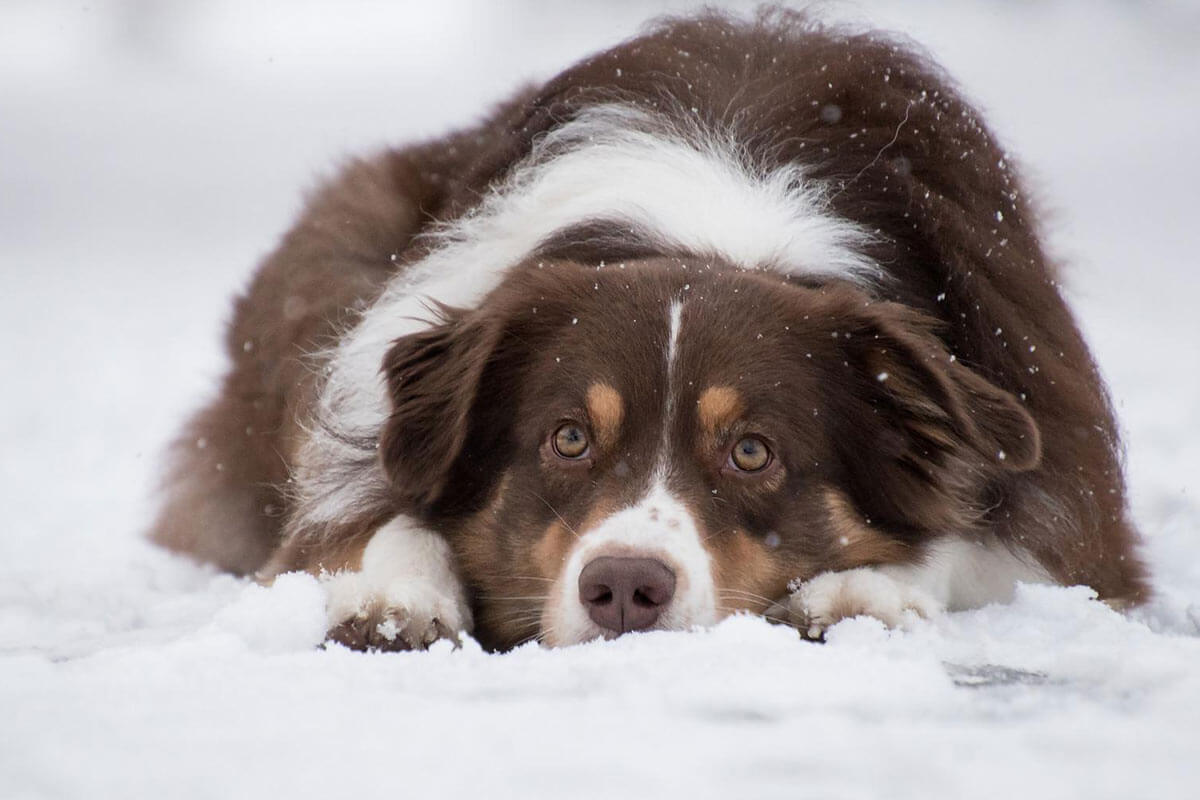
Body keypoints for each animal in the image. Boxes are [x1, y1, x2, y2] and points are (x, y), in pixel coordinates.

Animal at [147, 10, 1142, 652]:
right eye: (568, 438)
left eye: (753, 452)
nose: (625, 587)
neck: (714, 231)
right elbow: (372, 514)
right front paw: (398, 593)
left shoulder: (1071, 491)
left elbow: (984, 542)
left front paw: (868, 588)